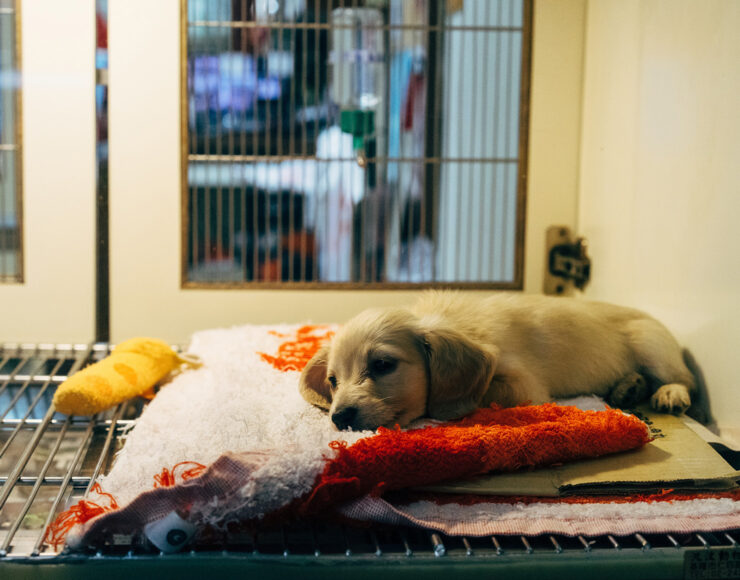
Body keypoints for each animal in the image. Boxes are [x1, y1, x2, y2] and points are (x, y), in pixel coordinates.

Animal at [298, 290, 696, 430]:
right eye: (333, 381)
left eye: (383, 365)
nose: (339, 418)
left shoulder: (525, 385)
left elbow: (483, 393)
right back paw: (629, 387)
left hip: (651, 344)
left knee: (683, 379)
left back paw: (669, 393)